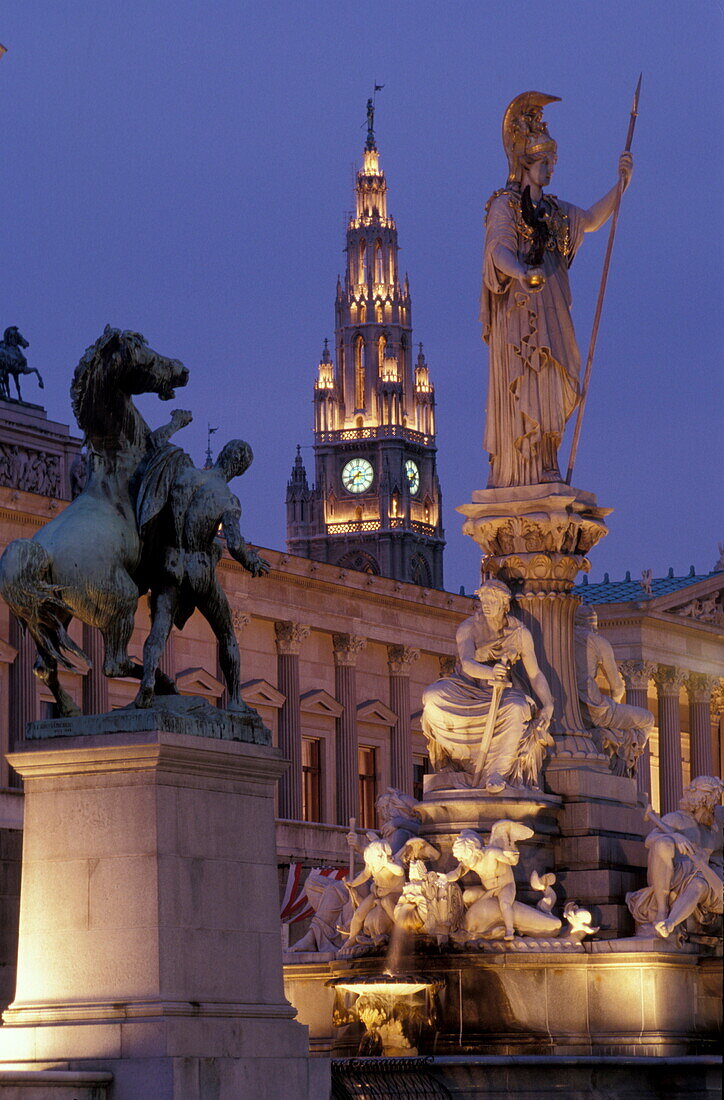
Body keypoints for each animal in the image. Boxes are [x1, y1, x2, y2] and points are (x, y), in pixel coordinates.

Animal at [0, 323, 189, 721]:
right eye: (144, 352)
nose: (183, 369)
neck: (118, 460)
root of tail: (36, 552)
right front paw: (180, 418)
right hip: (121, 600)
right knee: (113, 664)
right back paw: (161, 684)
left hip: (54, 614)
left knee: (44, 666)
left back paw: (70, 708)